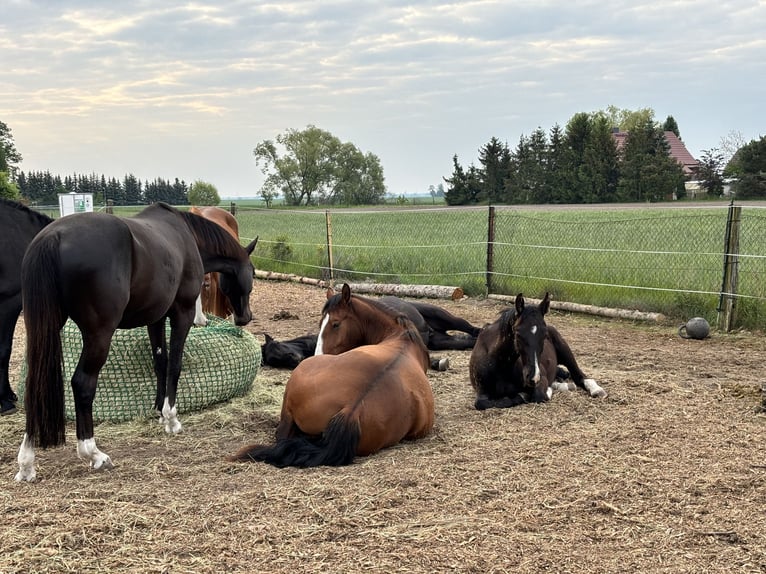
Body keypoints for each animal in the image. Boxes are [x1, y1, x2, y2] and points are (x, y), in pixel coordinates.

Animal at [15, 202, 260, 482]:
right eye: (252, 273)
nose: (244, 317)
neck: (187, 237)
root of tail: (52, 237)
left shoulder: (156, 318)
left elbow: (160, 363)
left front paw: (159, 411)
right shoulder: (182, 313)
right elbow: (175, 365)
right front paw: (171, 419)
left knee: (35, 386)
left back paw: (26, 462)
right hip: (99, 335)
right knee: (82, 384)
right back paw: (93, 452)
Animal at [468, 294, 608, 412]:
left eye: (544, 335)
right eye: (518, 334)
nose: (533, 377)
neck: (498, 364)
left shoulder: (542, 378)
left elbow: (539, 396)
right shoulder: (481, 391)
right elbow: (481, 403)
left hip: (566, 352)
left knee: (579, 375)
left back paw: (596, 390)